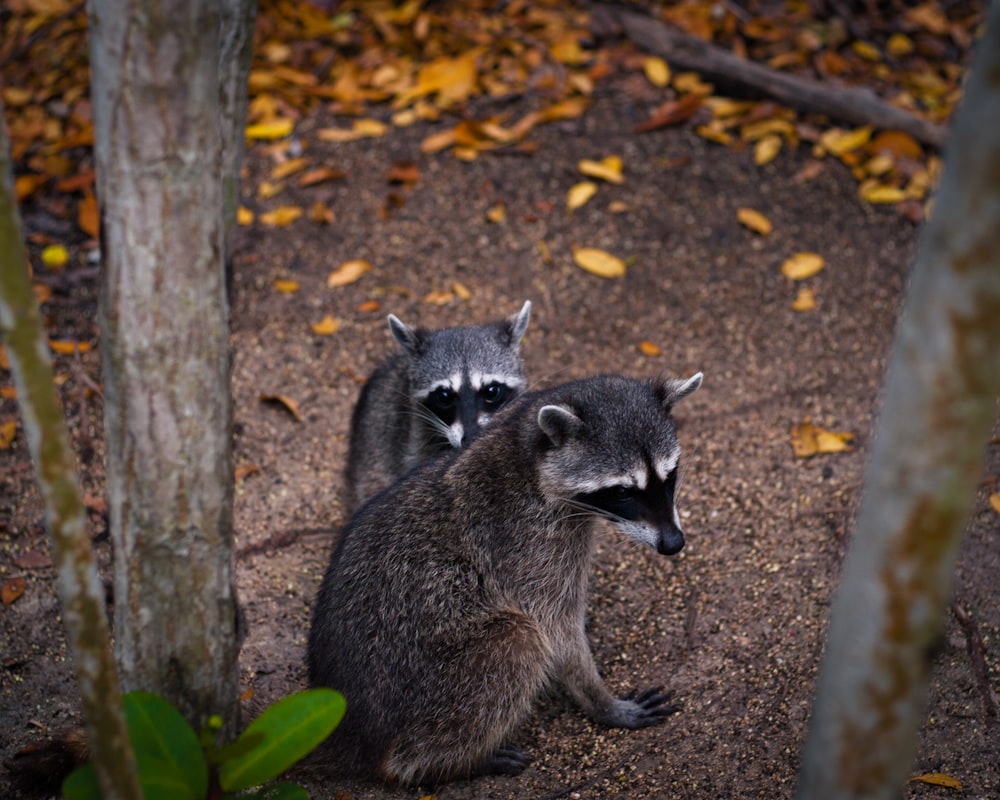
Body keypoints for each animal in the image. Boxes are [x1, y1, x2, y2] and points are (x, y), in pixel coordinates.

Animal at [308, 372, 708, 784]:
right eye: (623, 491)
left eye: (669, 475)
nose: (674, 544)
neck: (527, 456)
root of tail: (352, 736)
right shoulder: (527, 549)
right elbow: (556, 632)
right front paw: (601, 702)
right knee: (518, 642)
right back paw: (446, 762)